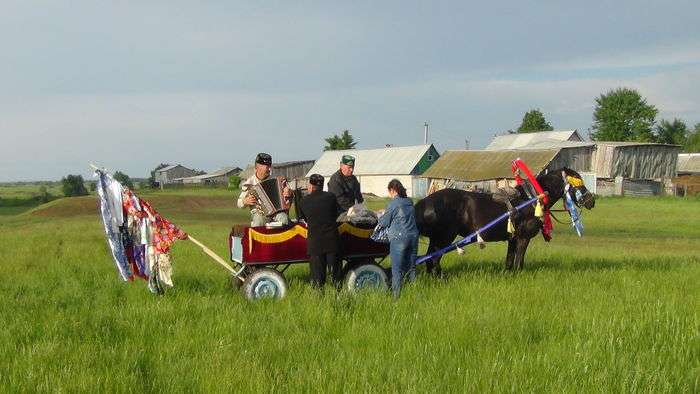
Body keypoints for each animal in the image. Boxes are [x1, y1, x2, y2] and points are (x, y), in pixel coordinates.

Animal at [416, 167, 596, 274]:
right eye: (578, 182)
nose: (590, 201)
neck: (531, 200)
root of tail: (426, 202)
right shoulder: (523, 238)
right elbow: (519, 260)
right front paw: (518, 274)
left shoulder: (513, 239)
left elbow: (509, 260)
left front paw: (508, 275)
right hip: (445, 237)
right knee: (434, 259)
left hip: (437, 238)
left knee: (429, 259)